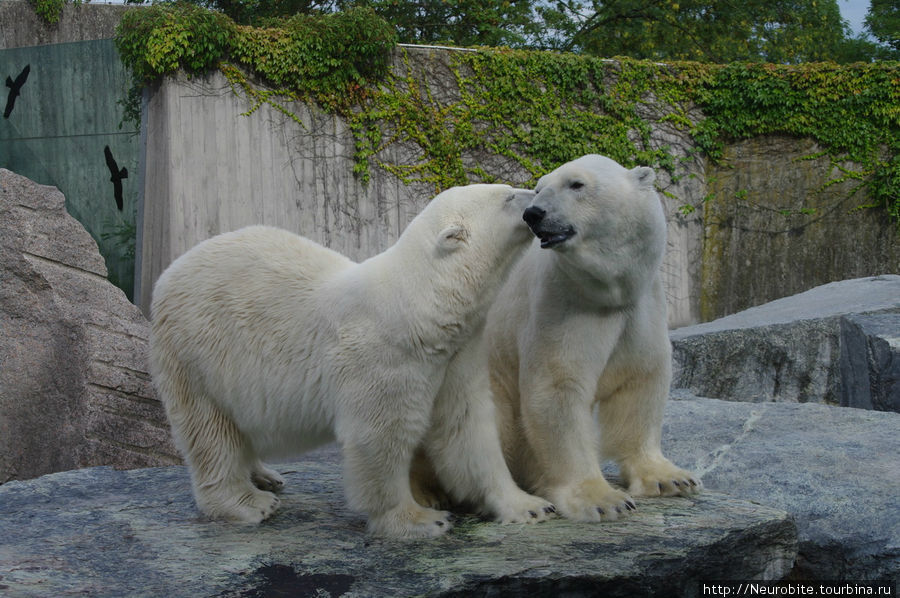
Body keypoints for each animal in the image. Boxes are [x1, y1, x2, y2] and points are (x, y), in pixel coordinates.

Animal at [149, 183, 556, 540]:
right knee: (211, 431)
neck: (420, 310)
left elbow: (467, 428)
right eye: (508, 196)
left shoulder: (457, 357)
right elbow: (380, 437)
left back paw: (267, 475)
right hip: (200, 352)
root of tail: (168, 275)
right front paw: (419, 520)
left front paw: (530, 506)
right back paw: (249, 502)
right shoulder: (384, 358)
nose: (536, 198)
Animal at [486, 156, 704, 524]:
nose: (533, 213)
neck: (607, 292)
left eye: (576, 184)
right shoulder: (561, 304)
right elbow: (559, 388)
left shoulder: (641, 308)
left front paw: (670, 479)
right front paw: (603, 500)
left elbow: (641, 379)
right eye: (539, 187)